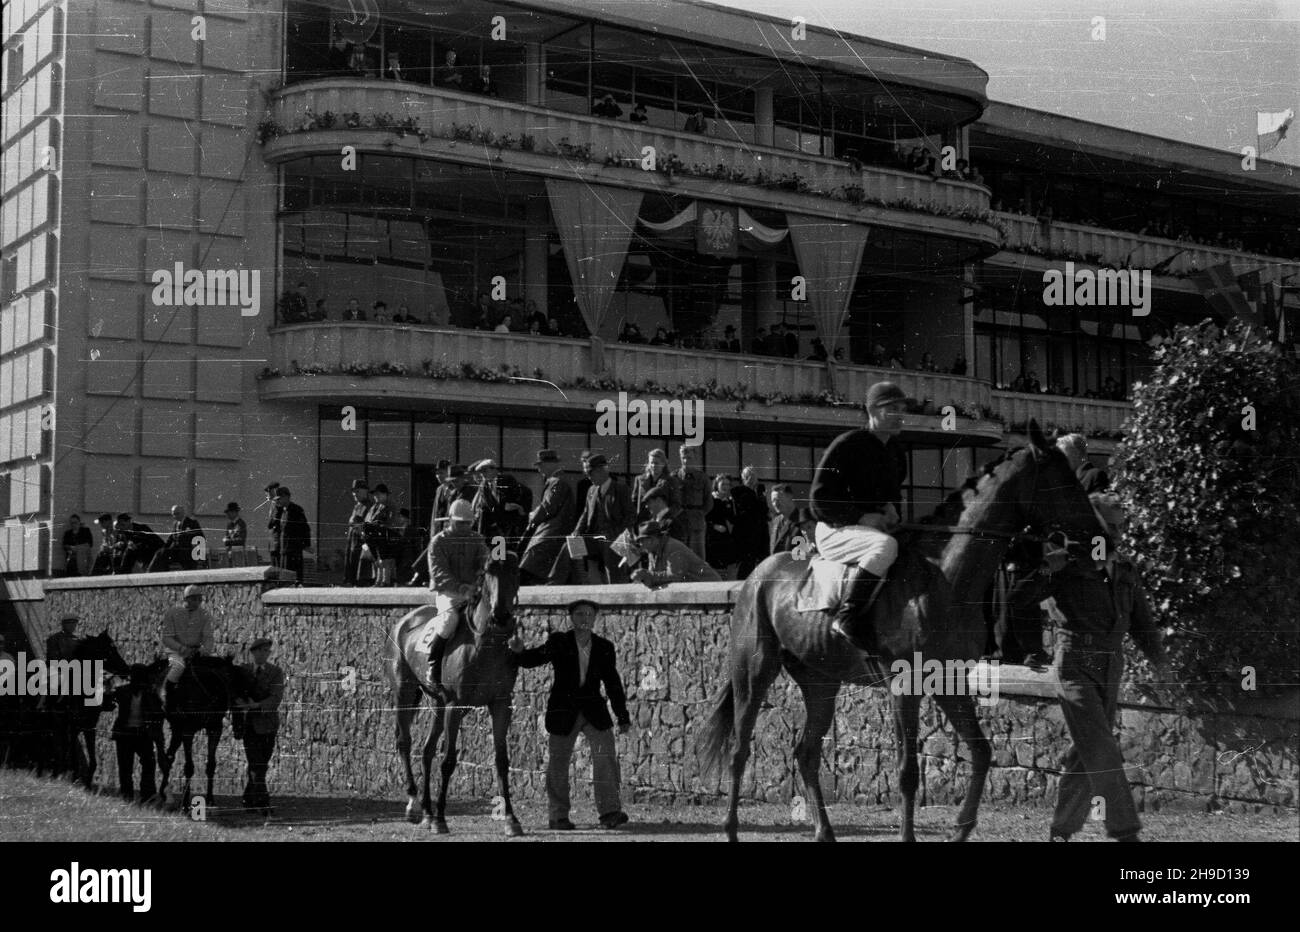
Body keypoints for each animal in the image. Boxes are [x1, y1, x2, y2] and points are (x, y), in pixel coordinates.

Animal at [384, 553, 522, 837]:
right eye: (487, 573)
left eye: (515, 572)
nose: (501, 615)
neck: (485, 645)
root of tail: (404, 622)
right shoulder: (455, 706)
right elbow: (448, 760)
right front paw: (441, 819)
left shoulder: (501, 704)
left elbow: (502, 760)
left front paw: (511, 820)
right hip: (405, 693)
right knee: (404, 742)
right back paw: (414, 804)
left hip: (438, 703)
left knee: (426, 750)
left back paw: (426, 811)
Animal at [702, 423, 1107, 842]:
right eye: (1063, 482)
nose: (1098, 535)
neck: (944, 577)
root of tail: (757, 574)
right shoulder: (905, 685)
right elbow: (908, 771)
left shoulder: (949, 682)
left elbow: (981, 751)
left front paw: (961, 829)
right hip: (753, 673)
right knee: (739, 750)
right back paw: (731, 829)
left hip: (821, 681)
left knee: (806, 752)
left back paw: (824, 831)